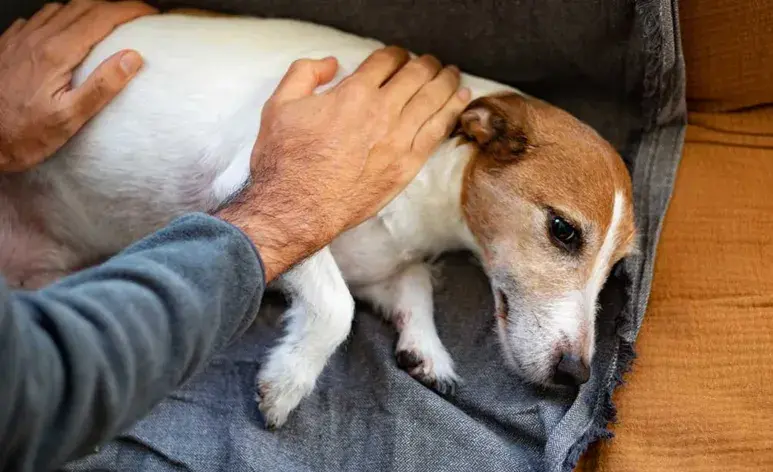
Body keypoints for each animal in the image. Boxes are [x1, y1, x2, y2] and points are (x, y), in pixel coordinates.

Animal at [0, 13, 636, 428]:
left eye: (615, 272)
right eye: (563, 230)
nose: (578, 374)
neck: (432, 176)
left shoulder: (379, 265)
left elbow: (409, 288)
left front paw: (425, 346)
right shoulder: (251, 184)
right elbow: (336, 307)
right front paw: (288, 383)